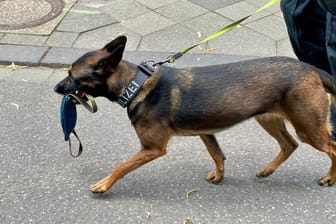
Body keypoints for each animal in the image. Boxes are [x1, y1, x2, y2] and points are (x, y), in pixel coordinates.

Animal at [53, 36, 336, 193]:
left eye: (71, 75)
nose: (56, 88)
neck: (135, 85)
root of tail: (312, 69)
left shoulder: (152, 148)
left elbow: (121, 165)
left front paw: (104, 184)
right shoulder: (206, 132)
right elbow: (218, 155)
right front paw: (219, 176)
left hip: (308, 128)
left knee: (331, 148)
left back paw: (330, 178)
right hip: (268, 119)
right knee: (289, 145)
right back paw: (267, 170)